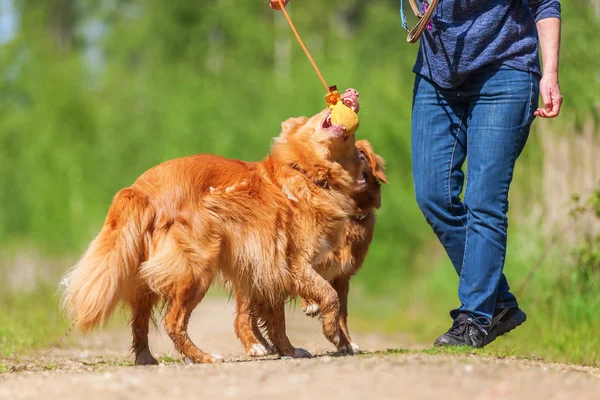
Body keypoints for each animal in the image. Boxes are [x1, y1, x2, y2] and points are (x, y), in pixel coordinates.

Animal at [61, 89, 360, 364]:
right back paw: (203, 357)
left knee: (140, 321)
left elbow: (277, 320)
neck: (305, 173)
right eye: (321, 110)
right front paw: (332, 334)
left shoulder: (269, 268)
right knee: (173, 321)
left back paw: (147, 359)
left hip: (147, 275)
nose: (353, 92)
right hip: (197, 269)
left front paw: (289, 350)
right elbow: (329, 295)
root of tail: (141, 189)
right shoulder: (291, 263)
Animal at [234, 140, 390, 356]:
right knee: (242, 316)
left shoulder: (342, 276)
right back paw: (254, 345)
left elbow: (341, 312)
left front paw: (345, 342)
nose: (358, 158)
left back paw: (264, 343)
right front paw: (311, 304)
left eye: (362, 153)